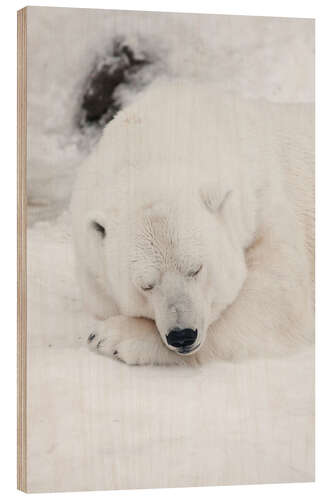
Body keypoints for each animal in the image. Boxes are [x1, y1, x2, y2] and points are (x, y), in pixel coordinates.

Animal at [70, 79, 314, 368]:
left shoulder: (265, 202)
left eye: (196, 269)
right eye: (145, 285)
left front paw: (112, 337)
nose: (183, 335)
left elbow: (276, 295)